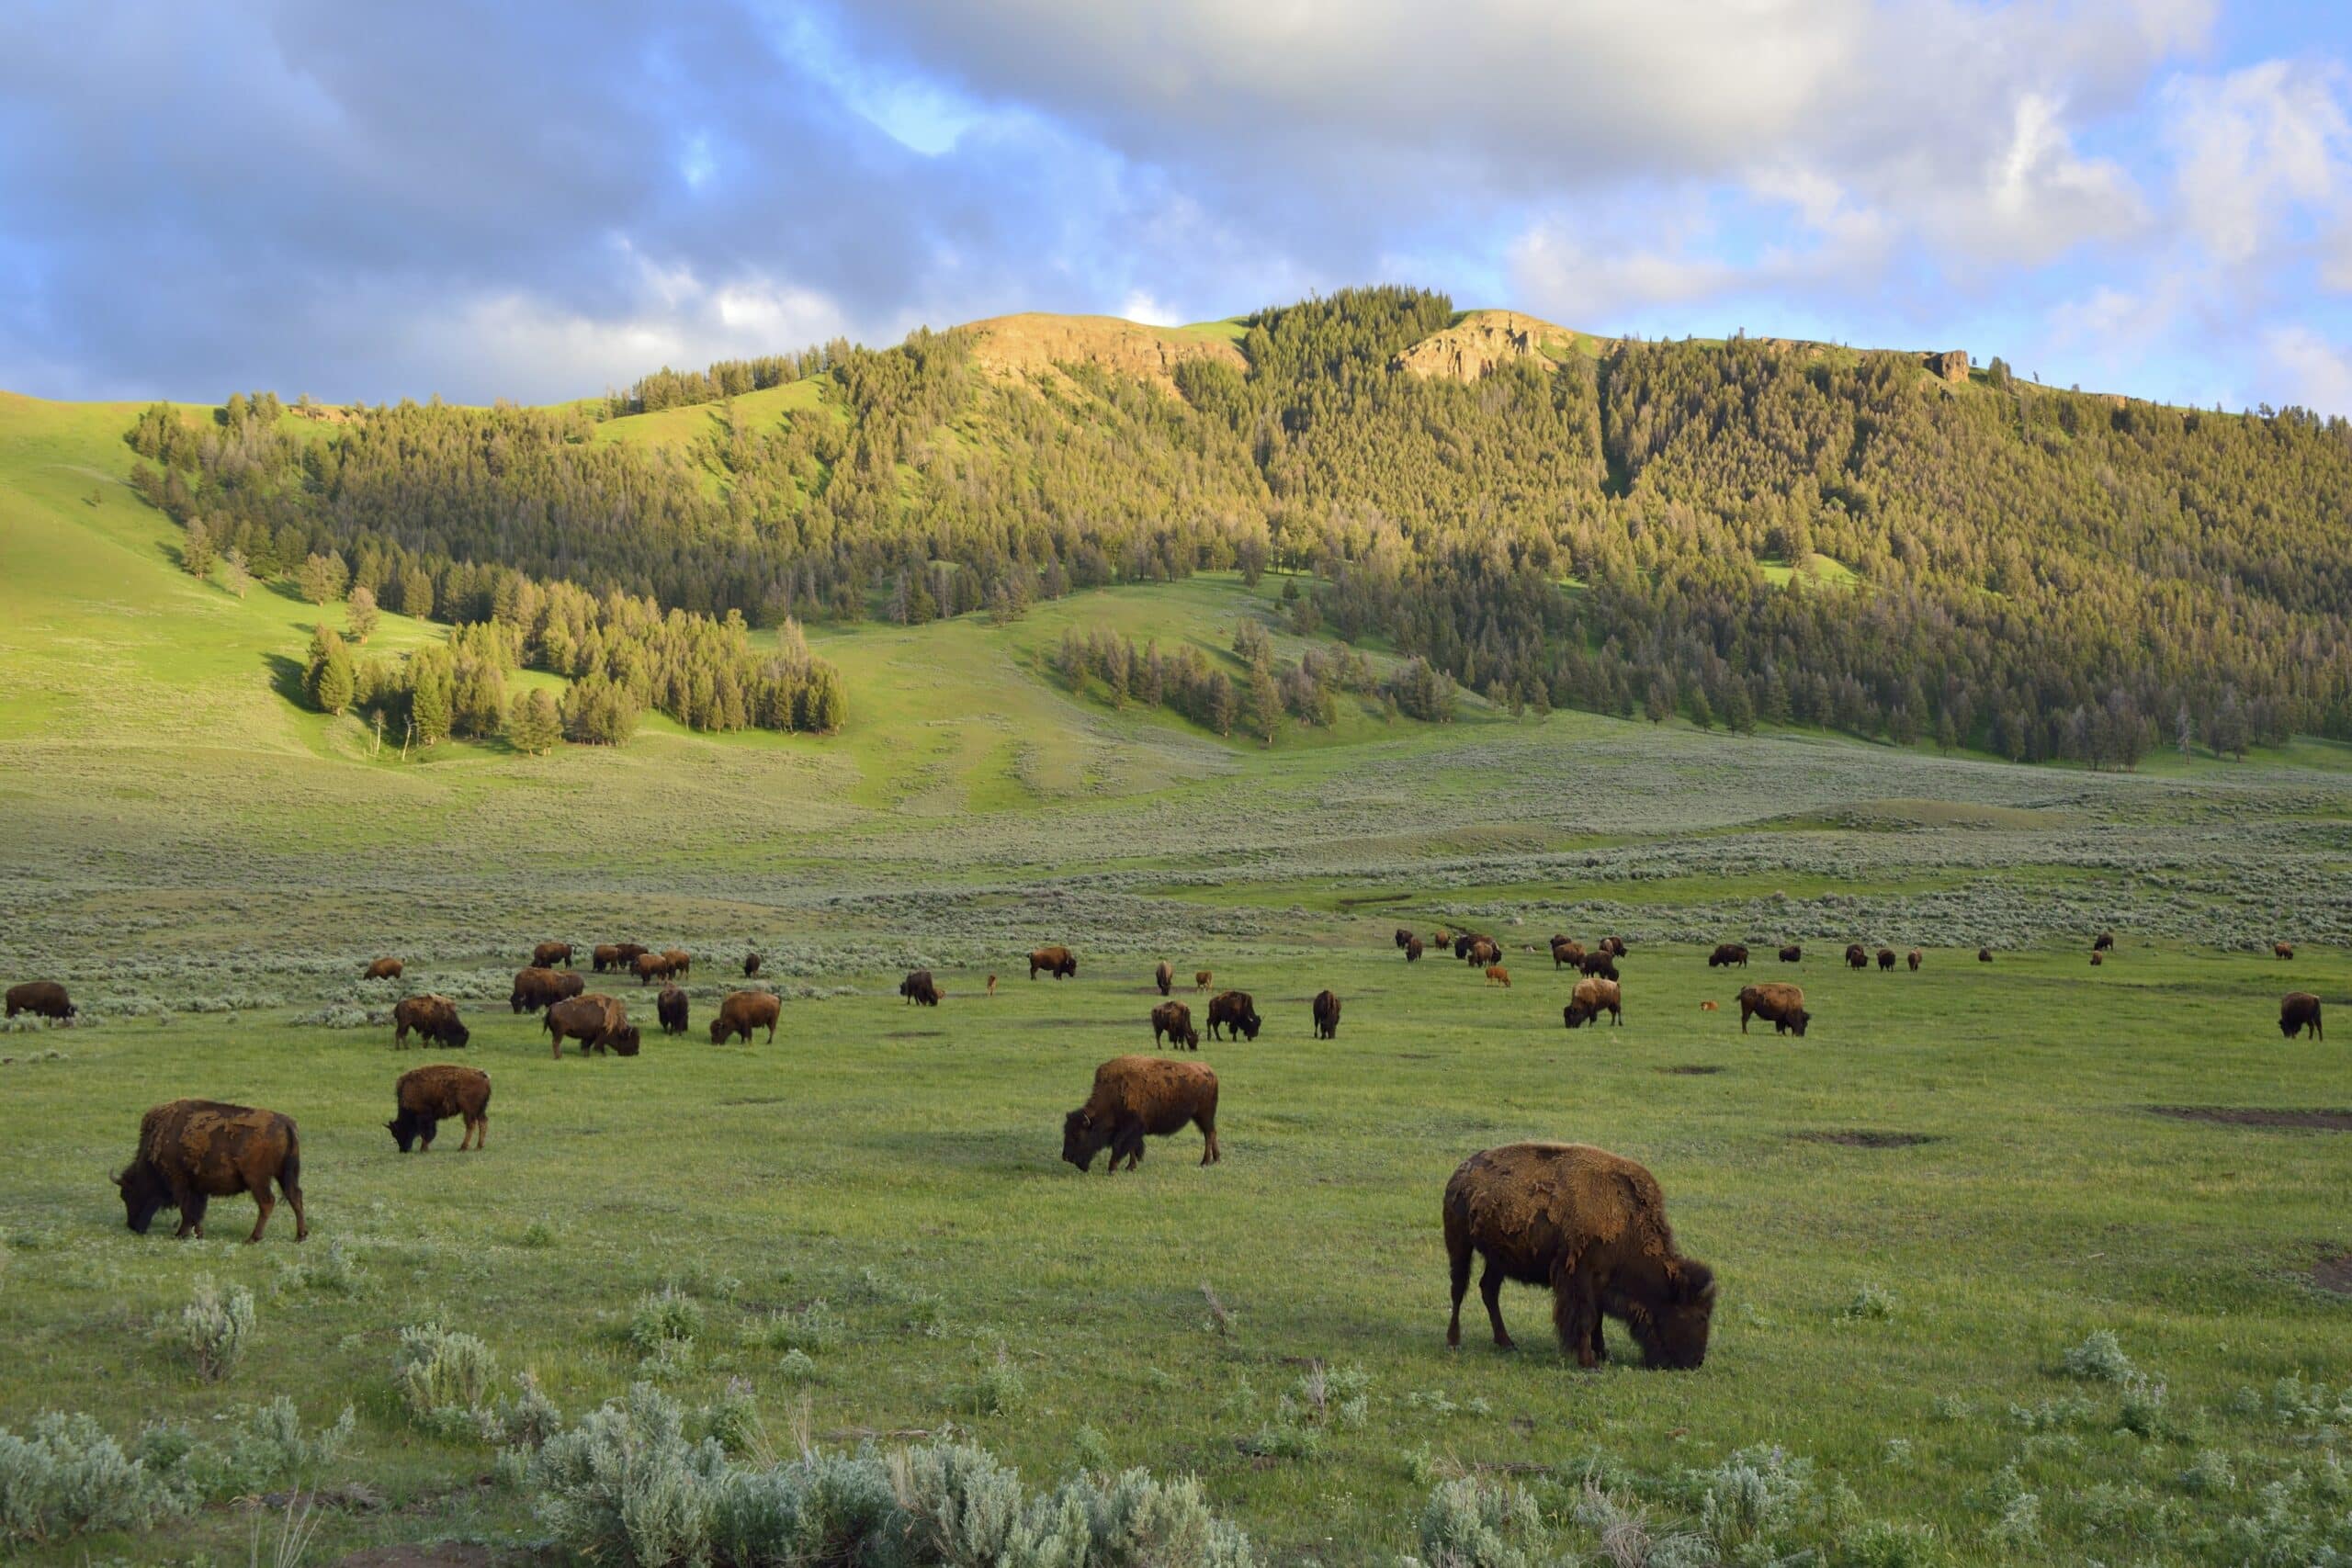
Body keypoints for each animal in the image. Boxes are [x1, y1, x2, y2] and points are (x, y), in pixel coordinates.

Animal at [118, 1100, 308, 1241]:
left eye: (128, 1194)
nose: (132, 1226)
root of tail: (286, 1123)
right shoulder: (196, 1187)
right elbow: (195, 1210)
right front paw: (193, 1234)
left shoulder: (179, 1181)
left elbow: (188, 1208)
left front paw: (182, 1234)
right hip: (283, 1175)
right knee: (295, 1197)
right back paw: (300, 1236)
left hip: (258, 1179)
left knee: (267, 1202)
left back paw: (253, 1238)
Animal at [1058, 1062, 1223, 1170]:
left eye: (1077, 1136)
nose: (1065, 1157)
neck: (1112, 1094)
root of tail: (1210, 1072)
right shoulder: (1131, 1131)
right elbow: (1132, 1148)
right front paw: (1130, 1166)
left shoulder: (1129, 1129)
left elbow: (1120, 1145)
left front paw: (1112, 1168)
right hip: (1202, 1117)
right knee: (1212, 1133)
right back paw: (1216, 1159)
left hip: (1203, 1116)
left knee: (1208, 1134)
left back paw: (1205, 1162)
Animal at [1430, 1142, 1712, 1372]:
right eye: (1700, 1316)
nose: (1697, 1362)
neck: (1628, 1221)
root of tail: (1461, 1173)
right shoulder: (1581, 1278)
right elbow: (1586, 1319)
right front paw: (1589, 1363)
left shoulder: (1600, 1283)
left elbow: (1597, 1319)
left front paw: (1603, 1353)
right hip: (1459, 1245)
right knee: (1459, 1289)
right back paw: (1454, 1341)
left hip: (1497, 1257)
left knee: (1488, 1290)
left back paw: (1506, 1343)